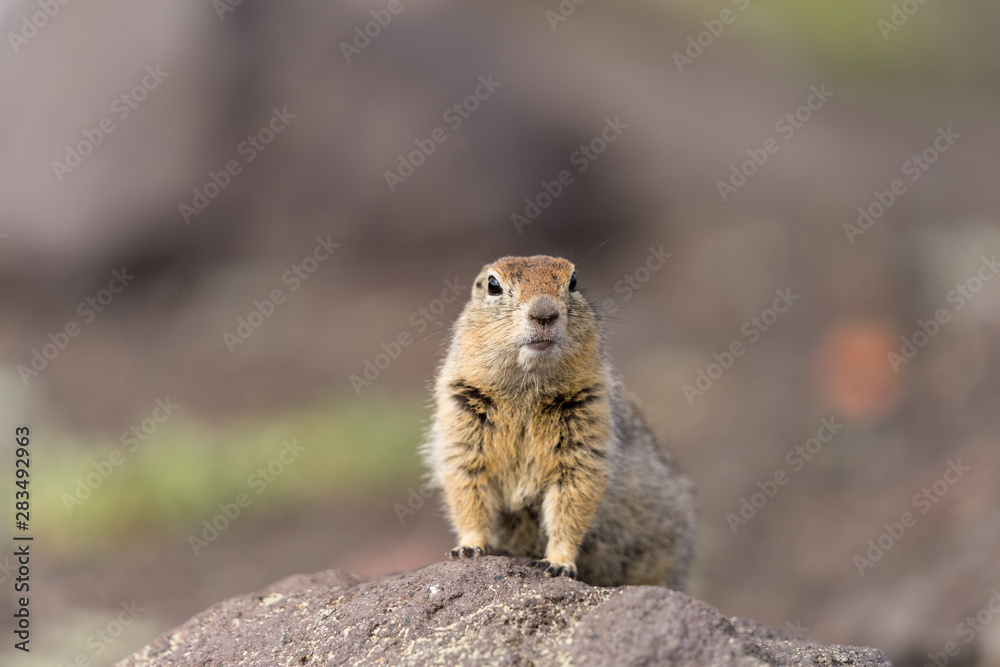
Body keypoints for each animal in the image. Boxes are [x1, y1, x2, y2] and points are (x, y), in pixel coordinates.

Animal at [422, 254, 695, 588]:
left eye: (573, 281)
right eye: (493, 285)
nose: (544, 313)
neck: (526, 390)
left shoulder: (585, 430)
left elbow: (571, 502)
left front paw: (558, 562)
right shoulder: (462, 421)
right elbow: (467, 489)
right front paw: (469, 547)